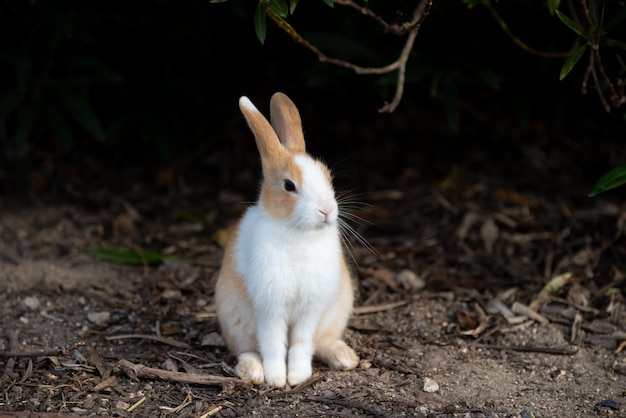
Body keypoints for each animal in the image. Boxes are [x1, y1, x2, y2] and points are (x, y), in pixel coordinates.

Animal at [214, 92, 358, 388]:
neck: (298, 232)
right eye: (289, 186)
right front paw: (277, 378)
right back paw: (253, 372)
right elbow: (272, 343)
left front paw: (299, 375)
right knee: (246, 350)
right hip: (234, 322)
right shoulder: (270, 307)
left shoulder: (310, 308)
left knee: (323, 343)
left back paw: (345, 358)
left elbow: (301, 343)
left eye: (328, 176)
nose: (327, 210)